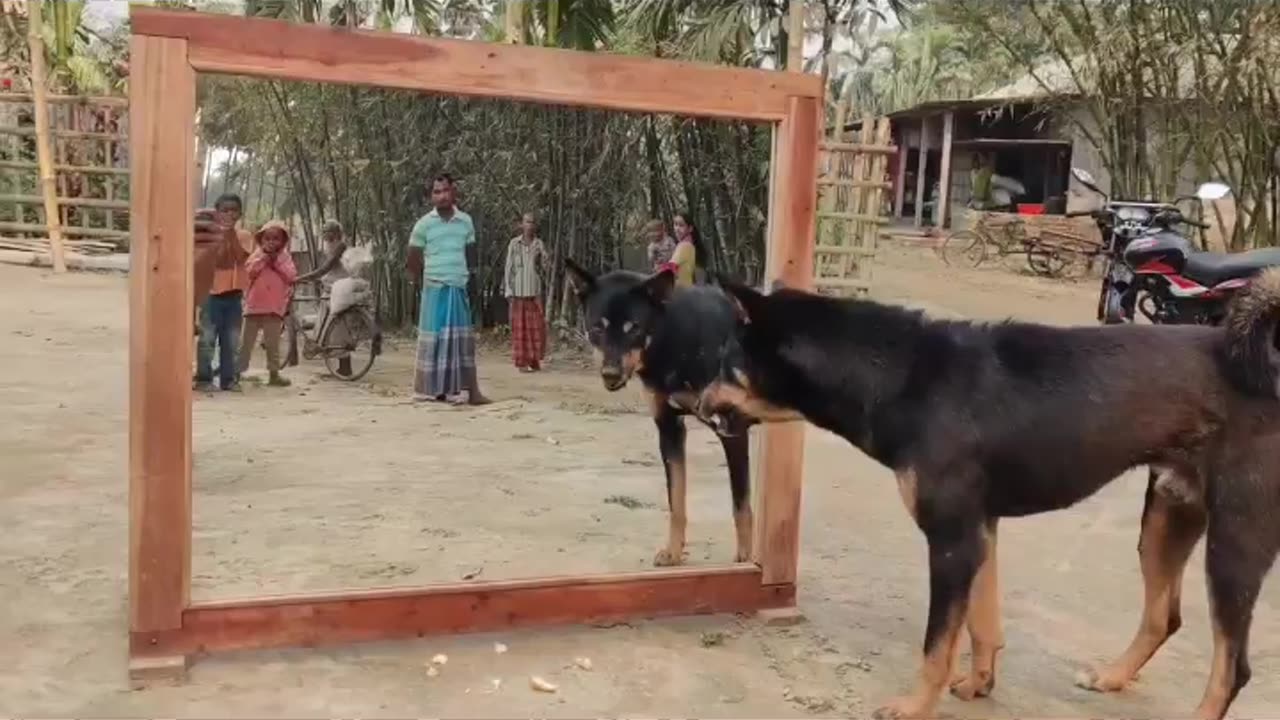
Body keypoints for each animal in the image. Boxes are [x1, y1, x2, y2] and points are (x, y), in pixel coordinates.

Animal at [565, 257, 752, 566]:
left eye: (633, 327)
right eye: (597, 328)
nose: (610, 374)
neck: (674, 338)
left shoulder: (732, 430)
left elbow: (741, 505)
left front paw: (747, 560)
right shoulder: (669, 428)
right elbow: (676, 501)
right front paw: (673, 552)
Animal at [696, 271, 1280, 712]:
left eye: (726, 363)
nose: (697, 403)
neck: (900, 376)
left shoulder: (951, 540)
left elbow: (936, 644)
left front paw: (914, 707)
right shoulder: (980, 530)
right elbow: (982, 622)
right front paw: (980, 684)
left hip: (1233, 544)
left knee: (1233, 667)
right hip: (1166, 519)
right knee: (1164, 617)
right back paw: (1112, 676)